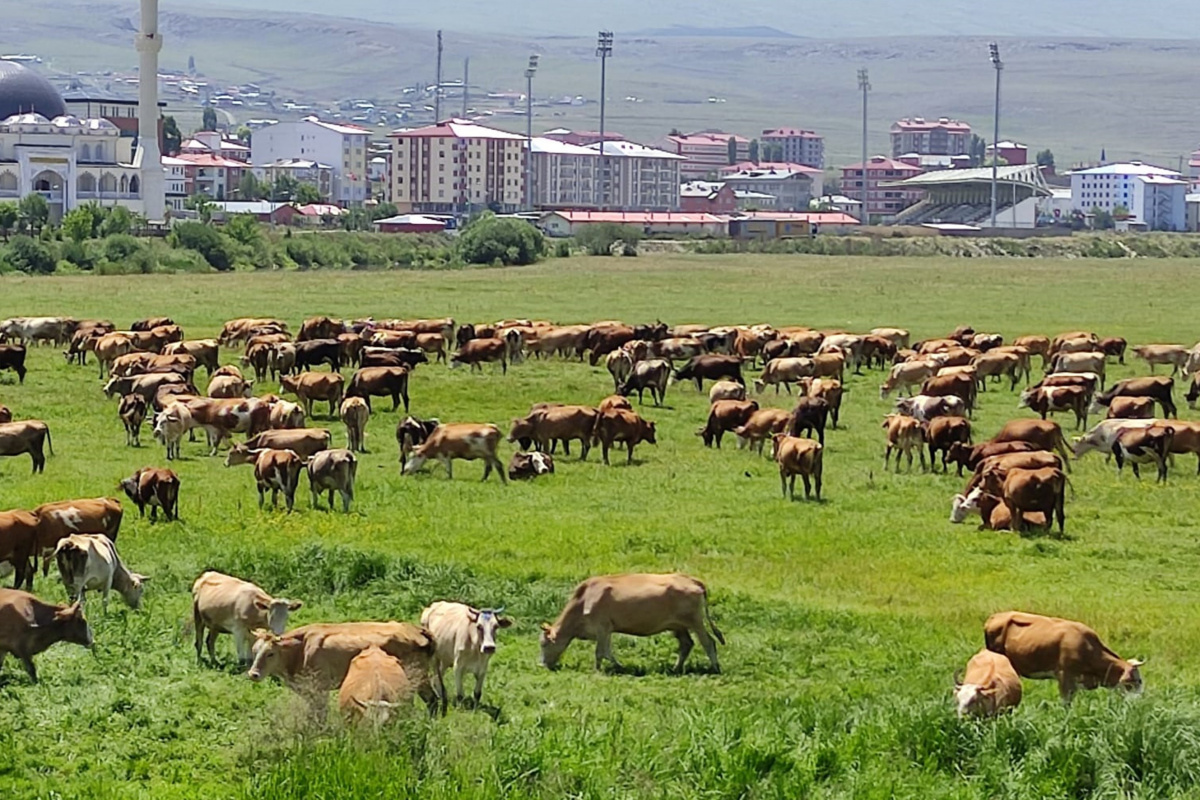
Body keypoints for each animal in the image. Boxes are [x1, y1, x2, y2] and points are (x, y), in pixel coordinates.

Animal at [542, 573, 724, 671]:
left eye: (543, 644)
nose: (541, 664)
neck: (584, 600)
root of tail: (692, 580)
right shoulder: (608, 630)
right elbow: (607, 651)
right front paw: (618, 666)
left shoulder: (602, 627)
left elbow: (600, 652)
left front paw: (598, 669)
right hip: (678, 626)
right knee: (687, 644)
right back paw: (676, 668)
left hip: (696, 622)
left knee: (708, 642)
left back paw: (714, 668)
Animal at [984, 609, 1142, 705]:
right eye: (1133, 681)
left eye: (1140, 680)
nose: (1139, 703)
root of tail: (994, 616)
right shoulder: (1065, 677)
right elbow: (1066, 704)